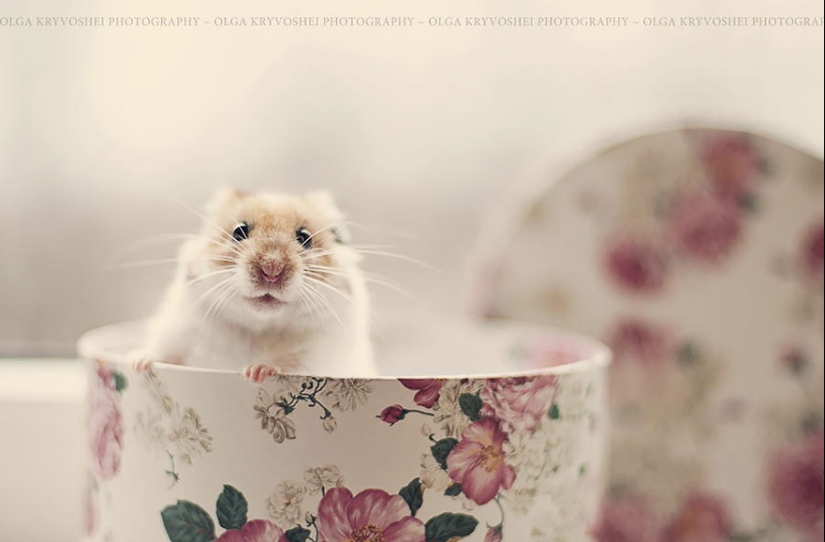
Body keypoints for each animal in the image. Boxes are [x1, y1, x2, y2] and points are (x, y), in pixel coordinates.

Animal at [134, 187, 375, 381]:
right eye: (239, 231)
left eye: (305, 237)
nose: (271, 270)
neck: (258, 327)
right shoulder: (179, 328)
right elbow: (164, 353)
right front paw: (139, 363)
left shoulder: (317, 356)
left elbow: (290, 365)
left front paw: (256, 372)